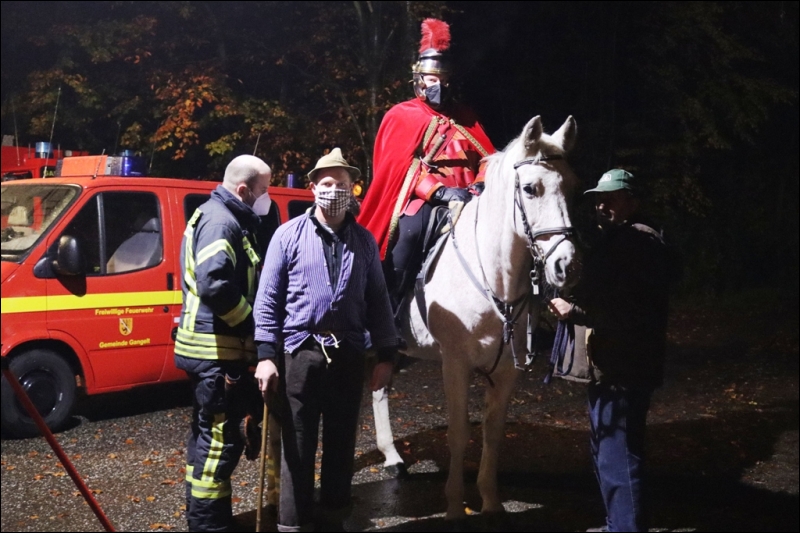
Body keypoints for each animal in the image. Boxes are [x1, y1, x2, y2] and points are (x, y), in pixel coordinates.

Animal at [372, 115, 580, 520]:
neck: (495, 279)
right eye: (530, 188)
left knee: (379, 385)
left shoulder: (507, 369)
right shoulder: (455, 363)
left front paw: (491, 502)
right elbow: (458, 434)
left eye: (572, 186)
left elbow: (492, 433)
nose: (567, 266)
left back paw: (392, 456)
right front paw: (455, 506)